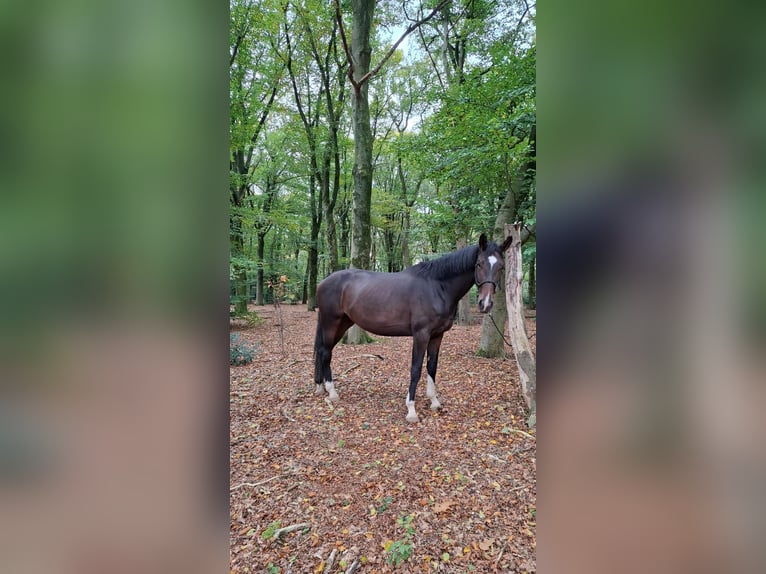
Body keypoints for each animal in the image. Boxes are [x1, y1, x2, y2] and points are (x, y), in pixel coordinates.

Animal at [312, 233, 510, 424]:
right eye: (479, 264)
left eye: (501, 267)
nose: (485, 304)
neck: (437, 287)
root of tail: (322, 282)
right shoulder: (421, 335)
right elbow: (416, 369)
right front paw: (411, 410)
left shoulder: (437, 335)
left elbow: (432, 367)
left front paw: (434, 402)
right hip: (331, 323)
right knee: (326, 353)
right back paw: (332, 392)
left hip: (343, 323)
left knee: (323, 351)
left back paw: (320, 387)